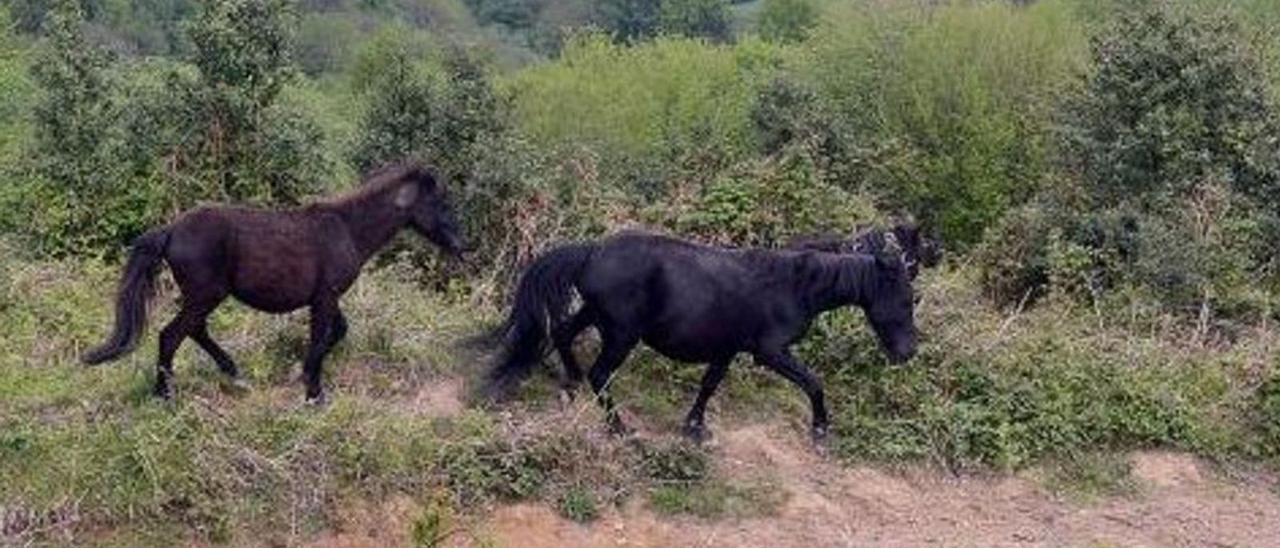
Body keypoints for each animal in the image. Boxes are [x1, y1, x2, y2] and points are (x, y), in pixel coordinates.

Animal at [80, 161, 463, 402]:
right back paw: (164, 395)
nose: (463, 245)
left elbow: (338, 332)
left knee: (194, 331)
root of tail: (172, 230)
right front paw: (313, 394)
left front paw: (302, 375)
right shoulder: (324, 298)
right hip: (206, 295)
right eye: (440, 201)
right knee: (171, 336)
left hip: (202, 297)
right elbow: (321, 338)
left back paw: (233, 373)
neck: (347, 228)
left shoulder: (328, 298)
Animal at [483, 230, 916, 440]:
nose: (908, 352)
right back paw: (619, 428)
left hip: (594, 314)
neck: (795, 286)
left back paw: (568, 385)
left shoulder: (728, 348)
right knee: (600, 374)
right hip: (621, 333)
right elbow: (813, 383)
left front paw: (694, 427)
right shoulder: (770, 351)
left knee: (562, 334)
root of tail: (593, 251)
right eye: (906, 299)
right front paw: (821, 430)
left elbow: (709, 385)